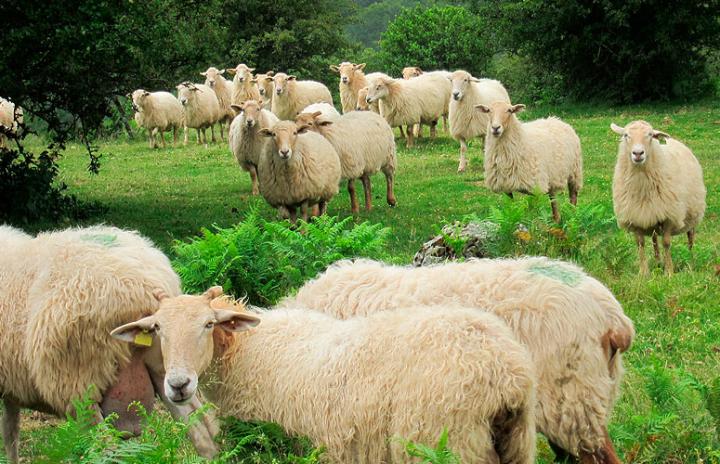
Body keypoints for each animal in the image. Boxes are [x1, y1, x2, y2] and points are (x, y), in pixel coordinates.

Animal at [0, 227, 219, 462]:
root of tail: (141, 283)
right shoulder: (10, 386)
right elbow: (11, 432)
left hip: (80, 388)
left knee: (106, 450)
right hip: (168, 367)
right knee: (202, 432)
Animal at [112, 288, 536, 464]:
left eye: (207, 324)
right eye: (158, 329)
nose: (178, 385)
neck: (246, 350)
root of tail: (503, 371)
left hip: (443, 443)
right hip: (518, 443)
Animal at [612, 121, 704, 278]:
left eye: (650, 135)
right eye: (626, 135)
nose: (638, 153)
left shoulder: (669, 216)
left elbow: (666, 243)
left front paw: (669, 272)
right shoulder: (636, 215)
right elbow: (640, 244)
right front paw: (644, 273)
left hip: (692, 215)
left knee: (690, 237)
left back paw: (691, 260)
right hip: (651, 214)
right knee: (655, 240)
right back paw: (657, 262)